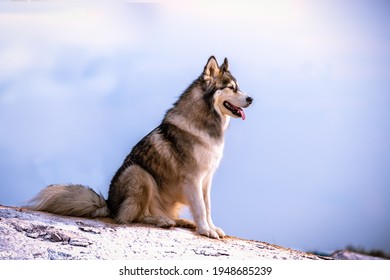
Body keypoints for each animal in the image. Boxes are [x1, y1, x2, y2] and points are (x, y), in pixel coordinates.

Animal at [26, 56, 253, 238]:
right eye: (231, 87)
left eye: (238, 86)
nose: (251, 99)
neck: (206, 122)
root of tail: (108, 204)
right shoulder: (193, 179)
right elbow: (200, 208)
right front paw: (206, 230)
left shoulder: (206, 180)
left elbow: (207, 207)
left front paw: (211, 228)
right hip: (138, 173)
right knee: (132, 217)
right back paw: (161, 220)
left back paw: (179, 221)